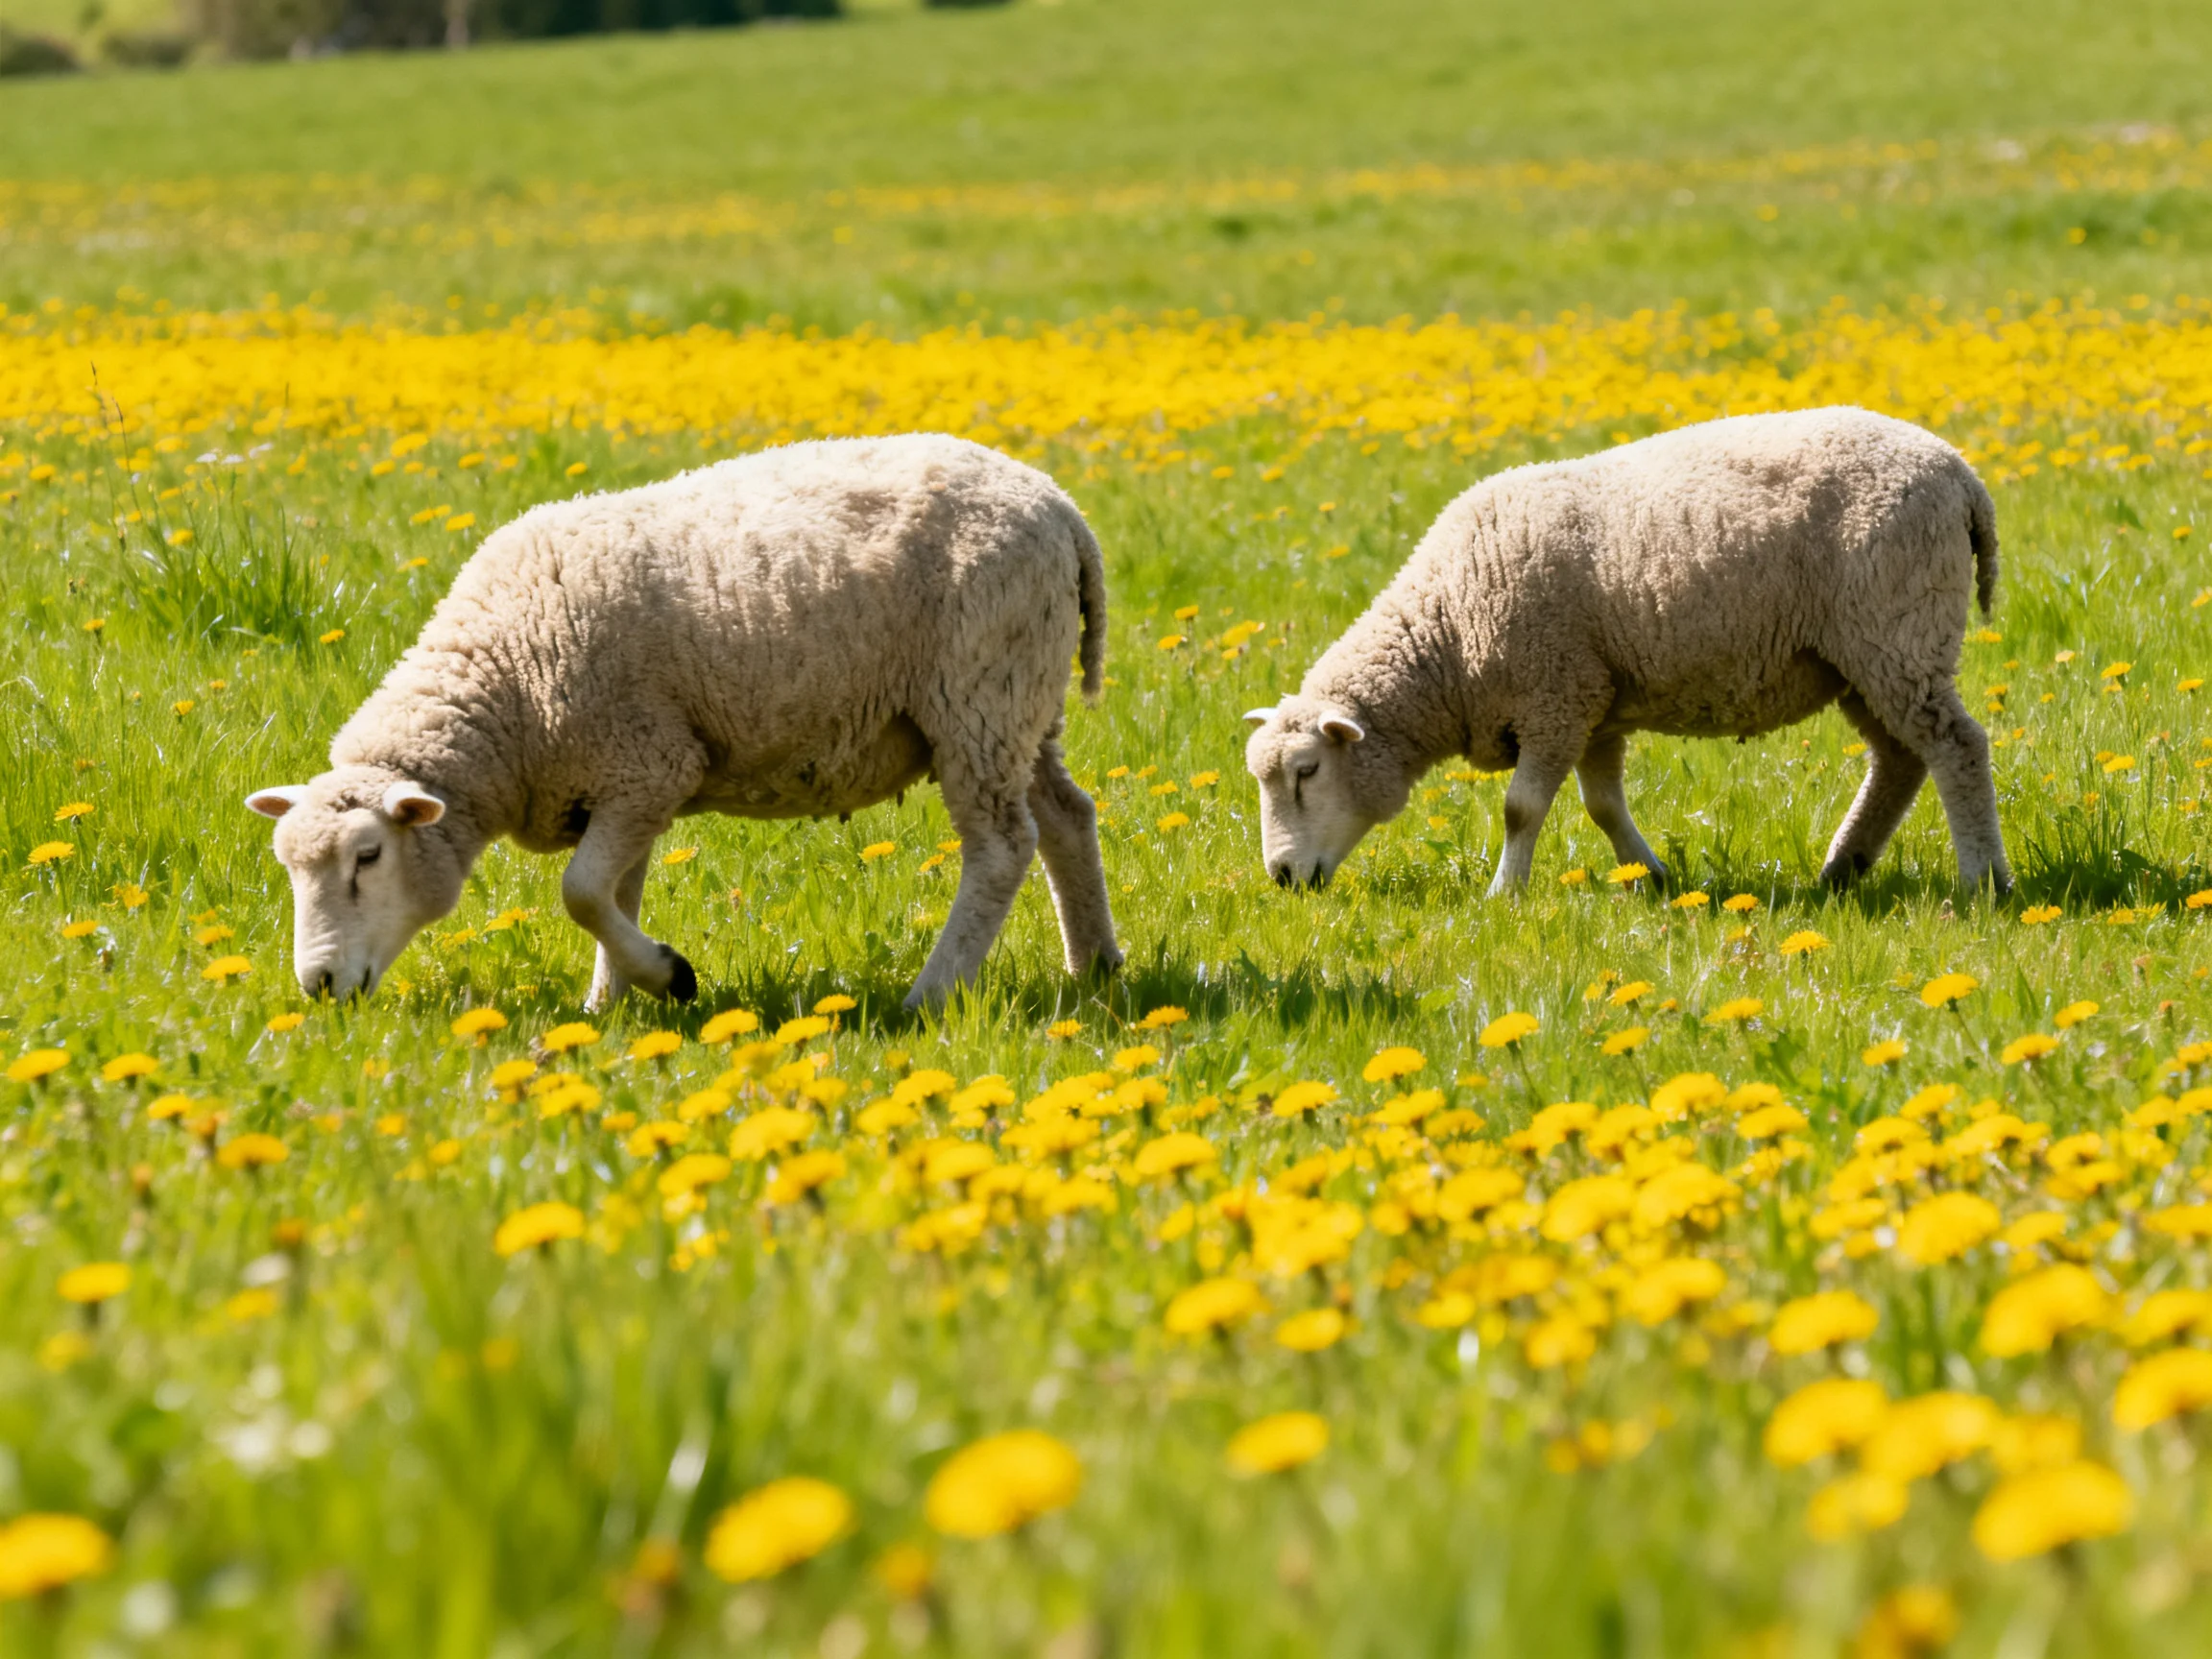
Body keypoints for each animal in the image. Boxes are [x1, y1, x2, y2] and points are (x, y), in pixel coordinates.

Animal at [245, 433, 1123, 1012]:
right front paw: (610, 1007)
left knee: (1001, 847)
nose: (318, 986)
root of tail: (1059, 507)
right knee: (1067, 817)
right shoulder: (614, 782)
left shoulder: (649, 763)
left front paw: (669, 977)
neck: (506, 693)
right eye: (287, 865)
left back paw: (933, 994)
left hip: (980, 692)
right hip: (1018, 703)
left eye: (367, 857)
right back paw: (1096, 965)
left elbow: (582, 893)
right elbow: (614, 894)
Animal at [1244, 407, 2011, 898]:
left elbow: (1521, 808)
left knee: (1956, 747)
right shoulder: (1594, 703)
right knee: (1900, 760)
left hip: (1896, 627)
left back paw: (1983, 880)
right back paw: (1842, 869)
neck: (1447, 637)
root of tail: (1959, 473)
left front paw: (1503, 894)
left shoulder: (1555, 694)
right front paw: (1650, 877)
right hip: (1860, 654)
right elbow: (1602, 805)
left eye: (1307, 772)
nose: (1282, 879)